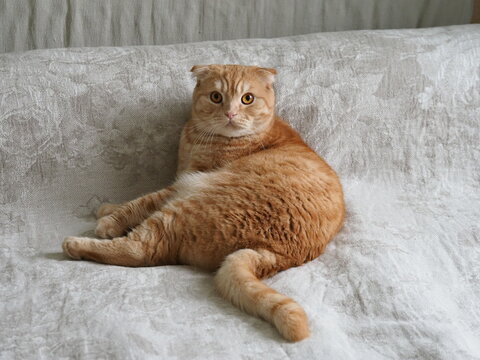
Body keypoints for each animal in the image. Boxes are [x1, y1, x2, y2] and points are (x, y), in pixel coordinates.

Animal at [62, 64, 344, 344]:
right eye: (216, 97)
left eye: (247, 99)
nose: (230, 113)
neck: (198, 137)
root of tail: (281, 253)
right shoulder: (180, 181)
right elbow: (137, 201)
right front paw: (107, 208)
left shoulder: (182, 184)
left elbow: (141, 202)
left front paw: (109, 220)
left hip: (186, 204)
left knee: (139, 250)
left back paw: (75, 245)